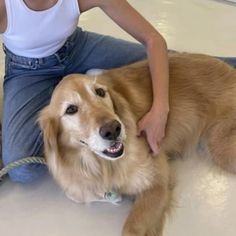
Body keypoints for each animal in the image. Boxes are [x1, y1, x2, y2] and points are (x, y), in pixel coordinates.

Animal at [38, 53, 236, 236]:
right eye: (71, 109)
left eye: (100, 92)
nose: (113, 129)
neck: (104, 166)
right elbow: (78, 194)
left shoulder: (158, 180)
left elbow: (131, 228)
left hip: (221, 149)